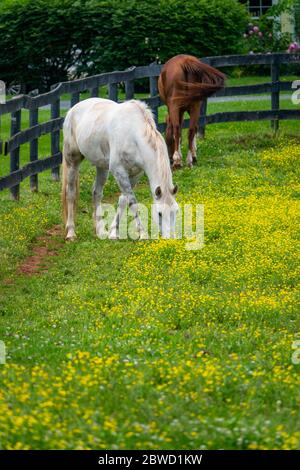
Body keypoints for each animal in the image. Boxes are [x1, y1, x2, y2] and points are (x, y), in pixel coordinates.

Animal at [61, 98, 178, 241]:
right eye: (160, 213)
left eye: (175, 211)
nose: (171, 238)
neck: (133, 134)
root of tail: (72, 110)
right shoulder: (119, 172)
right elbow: (132, 202)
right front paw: (143, 234)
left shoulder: (135, 174)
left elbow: (123, 200)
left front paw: (113, 233)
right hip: (72, 160)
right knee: (71, 193)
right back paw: (71, 233)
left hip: (102, 167)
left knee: (96, 193)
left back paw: (101, 231)